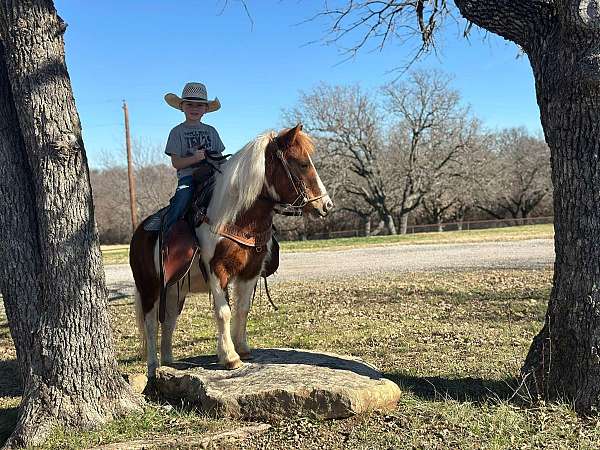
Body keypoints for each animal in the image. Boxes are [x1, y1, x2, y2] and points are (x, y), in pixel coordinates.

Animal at [130, 124, 332, 376]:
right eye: (303, 164)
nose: (326, 205)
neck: (234, 217)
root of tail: (139, 232)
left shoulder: (250, 271)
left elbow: (243, 308)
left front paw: (243, 348)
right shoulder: (217, 270)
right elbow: (223, 311)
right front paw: (229, 357)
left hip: (175, 290)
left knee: (168, 321)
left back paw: (169, 362)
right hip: (149, 288)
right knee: (150, 324)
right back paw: (152, 366)